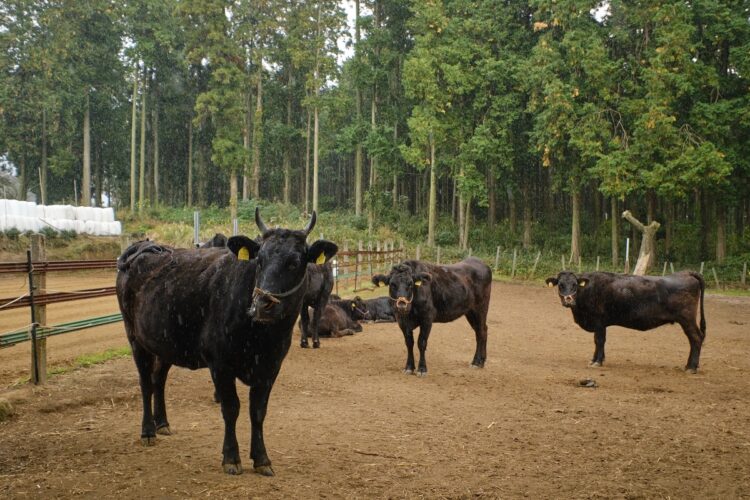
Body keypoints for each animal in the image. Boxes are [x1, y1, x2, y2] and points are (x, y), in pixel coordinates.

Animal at [115, 209, 338, 474]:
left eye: (295, 262)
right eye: (259, 260)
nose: (262, 304)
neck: (263, 337)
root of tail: (145, 246)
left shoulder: (271, 367)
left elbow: (258, 411)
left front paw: (262, 459)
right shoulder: (220, 364)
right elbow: (231, 408)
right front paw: (231, 457)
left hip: (165, 343)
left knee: (158, 379)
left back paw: (162, 423)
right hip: (135, 339)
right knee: (146, 382)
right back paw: (148, 430)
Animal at [544, 272, 708, 374]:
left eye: (575, 284)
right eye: (560, 285)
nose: (568, 300)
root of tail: (685, 273)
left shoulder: (599, 322)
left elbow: (599, 341)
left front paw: (597, 361)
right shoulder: (600, 324)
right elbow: (598, 342)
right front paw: (595, 359)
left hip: (687, 319)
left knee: (696, 338)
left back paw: (691, 367)